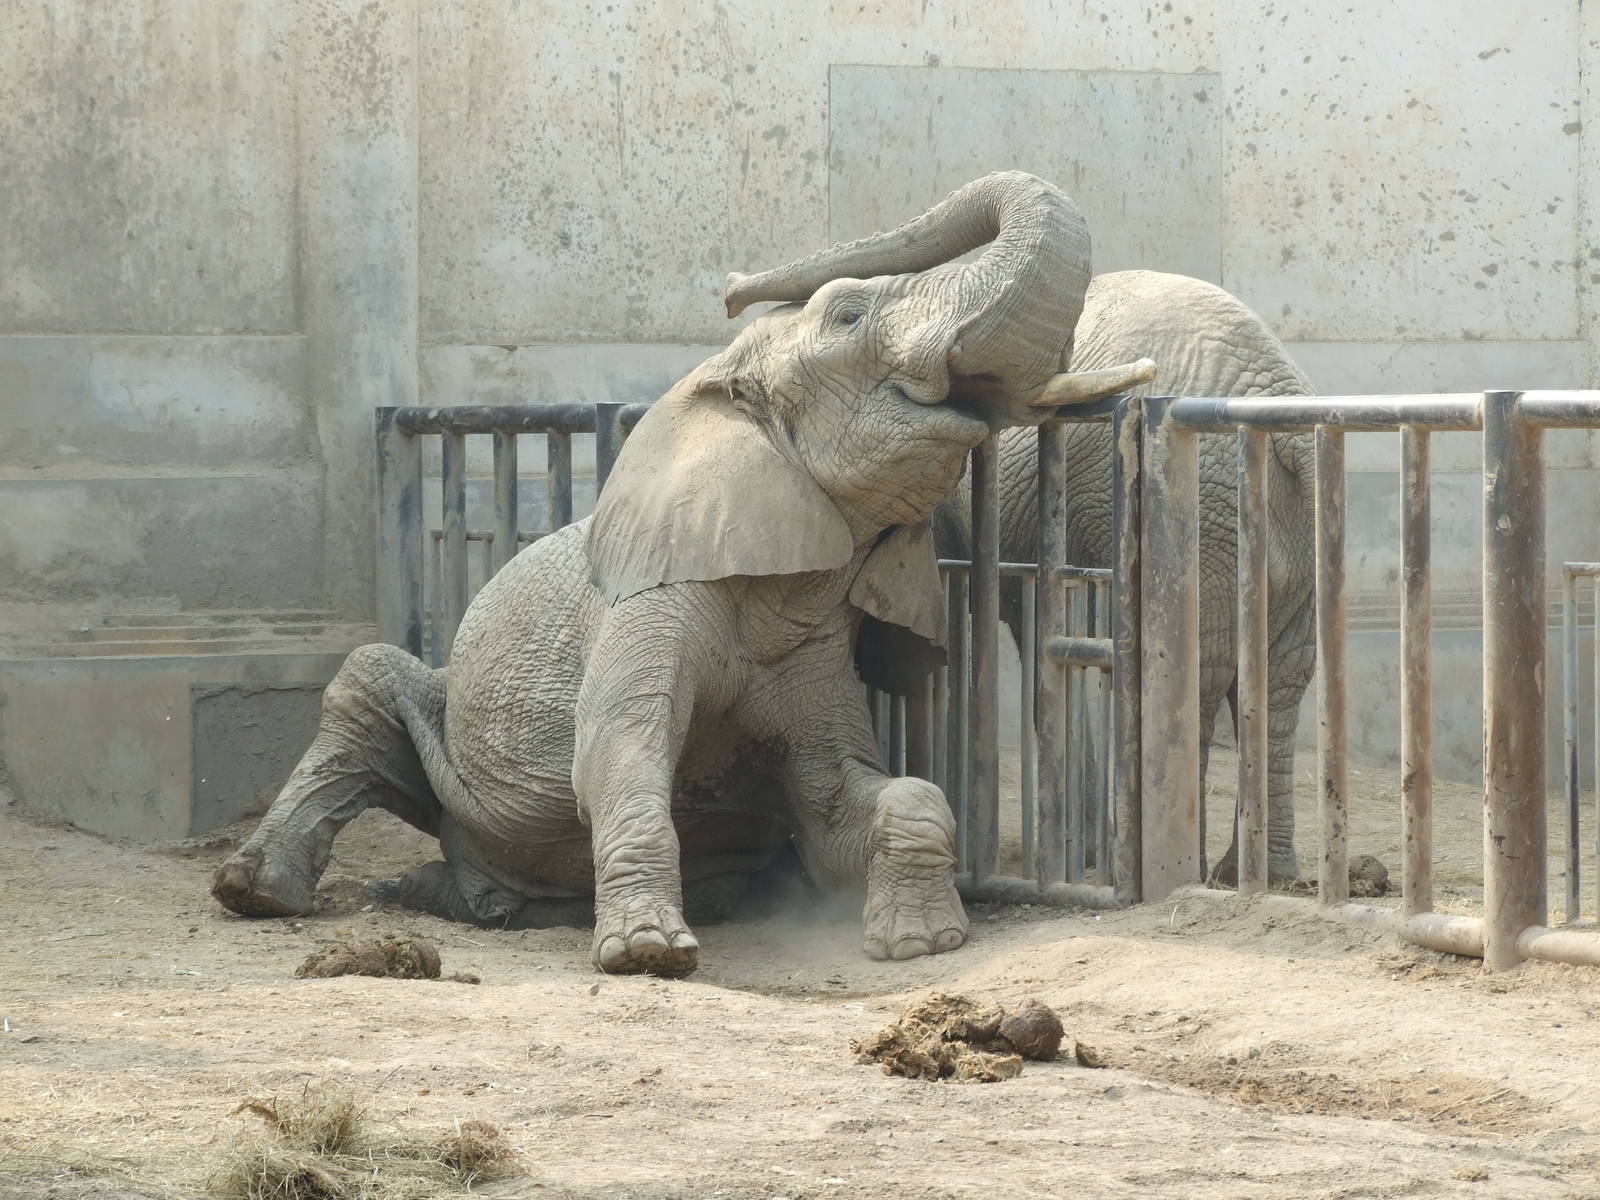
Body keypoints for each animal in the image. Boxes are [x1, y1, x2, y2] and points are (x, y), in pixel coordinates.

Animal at [210, 171, 1156, 975]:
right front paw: (648, 955)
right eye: (848, 316)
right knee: (365, 688)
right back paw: (256, 892)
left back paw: (454, 900)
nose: (734, 286)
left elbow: (849, 802)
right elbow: (615, 756)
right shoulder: (653, 599)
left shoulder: (816, 647)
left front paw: (921, 943)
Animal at [936, 269, 1316, 883]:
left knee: (1203, 681)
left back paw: (1187, 870)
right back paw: (1257, 875)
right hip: (1289, 537)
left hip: (1207, 522)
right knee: (1279, 676)